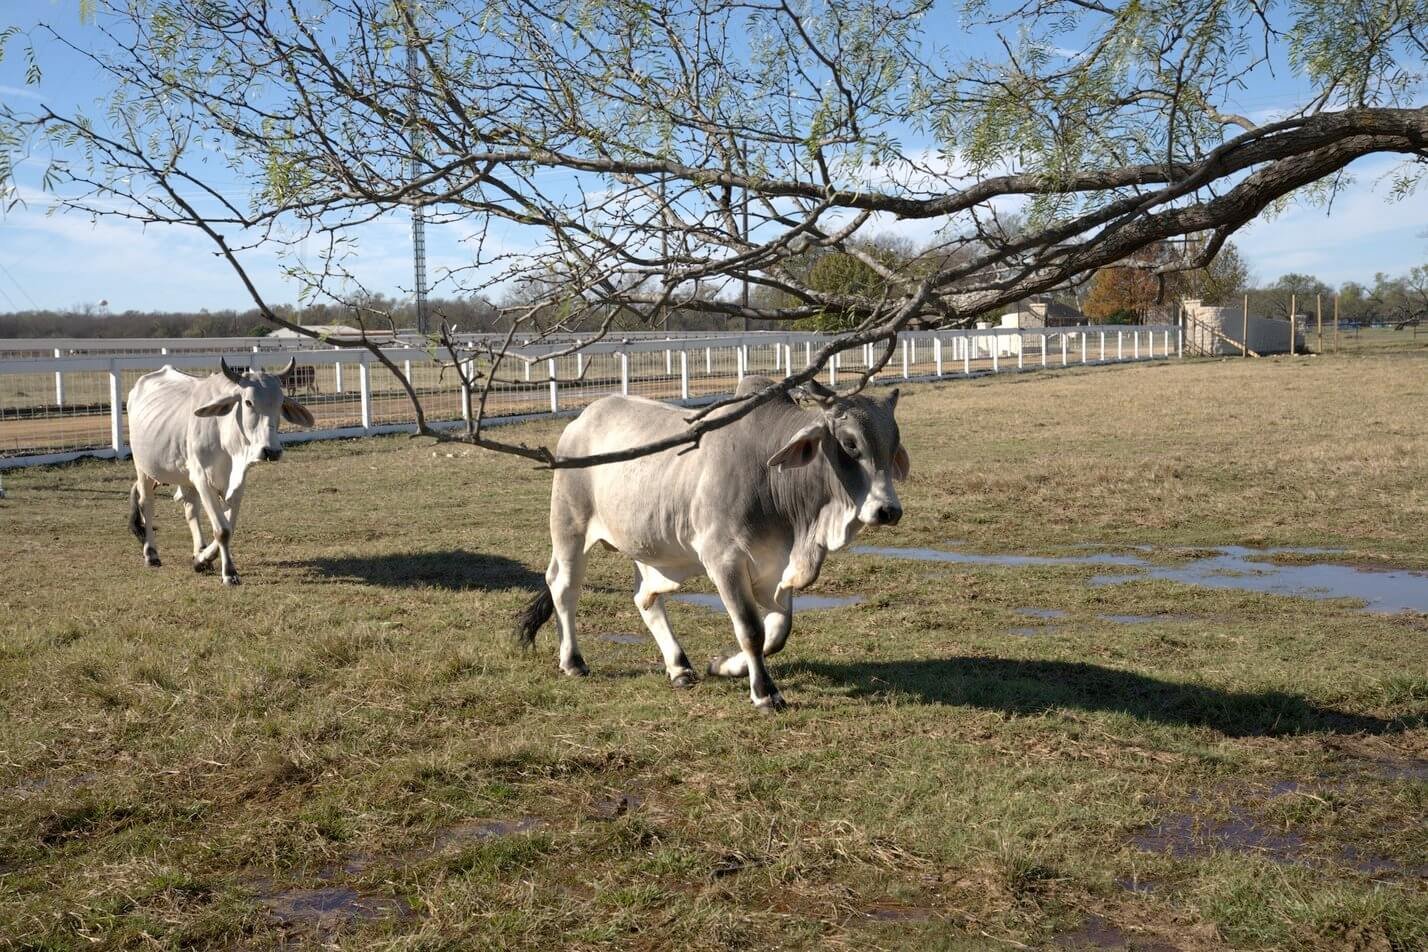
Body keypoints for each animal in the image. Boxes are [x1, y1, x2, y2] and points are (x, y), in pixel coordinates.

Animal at [126, 357, 315, 586]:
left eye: (279, 403)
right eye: (248, 402)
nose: (271, 451)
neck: (226, 438)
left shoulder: (237, 484)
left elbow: (229, 526)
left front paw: (202, 559)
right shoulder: (202, 479)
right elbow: (223, 530)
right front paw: (229, 573)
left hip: (184, 475)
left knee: (191, 509)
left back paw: (198, 549)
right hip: (143, 468)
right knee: (147, 504)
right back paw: (151, 553)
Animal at [514, 376, 910, 710]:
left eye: (893, 445)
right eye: (850, 444)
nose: (888, 510)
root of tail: (582, 419)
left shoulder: (777, 566)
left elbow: (777, 631)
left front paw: (723, 666)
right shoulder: (725, 560)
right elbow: (751, 629)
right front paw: (765, 693)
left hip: (649, 544)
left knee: (645, 597)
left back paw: (678, 667)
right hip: (570, 527)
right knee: (563, 587)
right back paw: (573, 661)